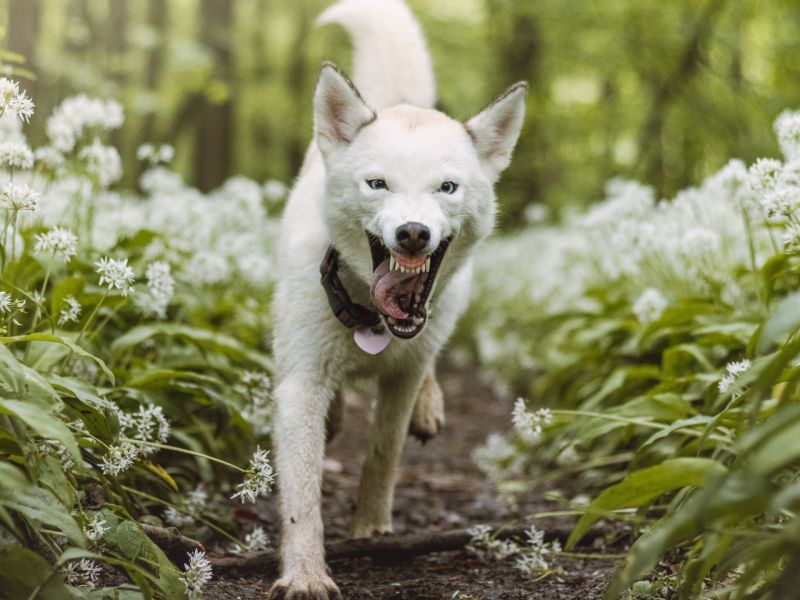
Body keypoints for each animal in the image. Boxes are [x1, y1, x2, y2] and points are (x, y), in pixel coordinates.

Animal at [272, 1, 528, 596]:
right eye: (378, 184)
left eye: (447, 188)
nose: (413, 233)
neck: (372, 321)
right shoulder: (300, 383)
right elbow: (302, 495)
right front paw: (306, 573)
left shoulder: (402, 377)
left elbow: (383, 454)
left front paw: (370, 525)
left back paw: (429, 407)